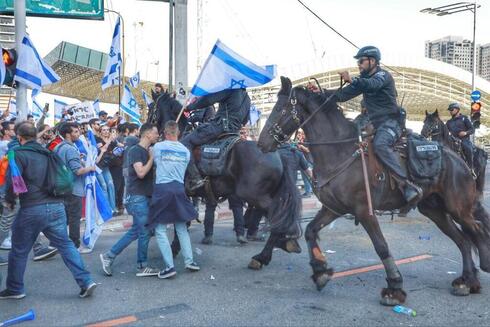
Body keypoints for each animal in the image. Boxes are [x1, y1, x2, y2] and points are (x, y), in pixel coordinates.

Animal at [256, 76, 490, 304]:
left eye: (282, 109)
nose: (261, 143)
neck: (339, 150)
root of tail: (459, 160)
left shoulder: (364, 211)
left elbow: (381, 246)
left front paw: (394, 287)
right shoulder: (334, 208)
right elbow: (310, 231)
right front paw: (320, 271)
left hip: (458, 208)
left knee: (476, 230)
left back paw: (478, 271)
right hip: (435, 210)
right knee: (463, 240)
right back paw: (467, 281)